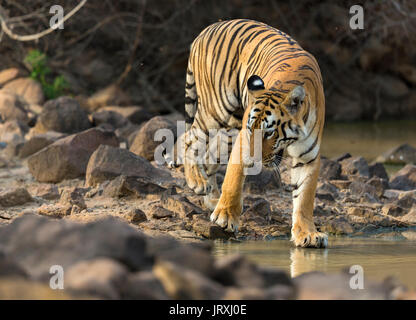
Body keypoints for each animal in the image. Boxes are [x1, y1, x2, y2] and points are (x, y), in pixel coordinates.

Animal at [180, 18, 326, 249]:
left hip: (229, 127)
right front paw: (225, 217)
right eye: (252, 130)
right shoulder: (242, 138)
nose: (253, 158)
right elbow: (233, 178)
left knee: (210, 157)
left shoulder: (308, 156)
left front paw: (308, 234)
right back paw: (198, 182)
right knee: (188, 138)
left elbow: (304, 197)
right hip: (216, 110)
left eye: (269, 133)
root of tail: (205, 30)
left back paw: (211, 198)